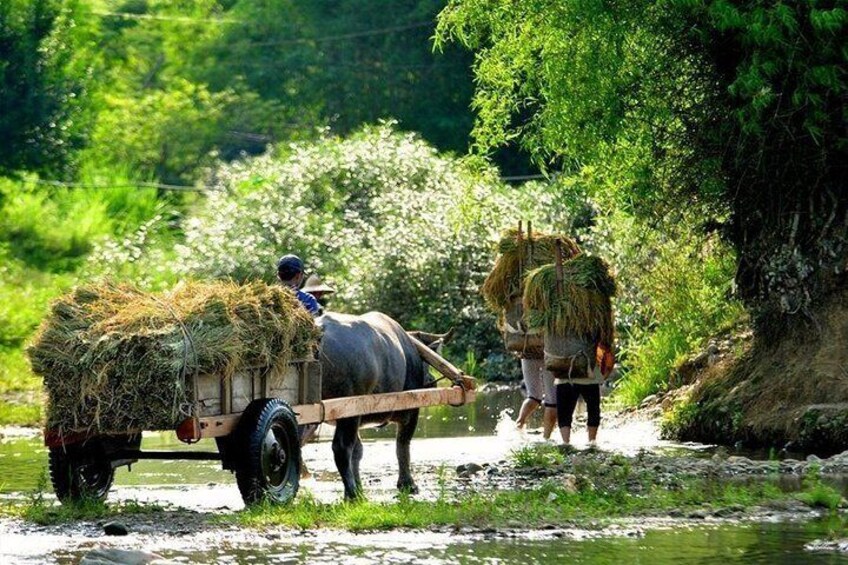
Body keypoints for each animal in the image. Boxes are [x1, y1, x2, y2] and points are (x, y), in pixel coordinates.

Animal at [314, 310, 450, 500]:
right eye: (426, 363)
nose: (432, 381)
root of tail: (321, 331)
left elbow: (358, 451)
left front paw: (360, 485)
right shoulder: (411, 411)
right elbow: (402, 445)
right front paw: (407, 484)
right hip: (349, 412)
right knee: (341, 448)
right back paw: (352, 494)